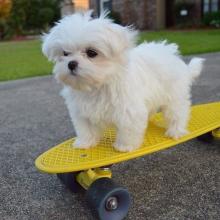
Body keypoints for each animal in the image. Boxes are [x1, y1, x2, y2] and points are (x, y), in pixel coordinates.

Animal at [41, 11, 205, 152]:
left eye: (91, 53)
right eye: (65, 53)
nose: (71, 64)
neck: (98, 85)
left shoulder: (129, 109)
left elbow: (128, 128)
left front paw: (125, 146)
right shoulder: (82, 111)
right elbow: (86, 128)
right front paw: (85, 142)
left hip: (174, 96)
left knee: (178, 112)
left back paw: (176, 131)